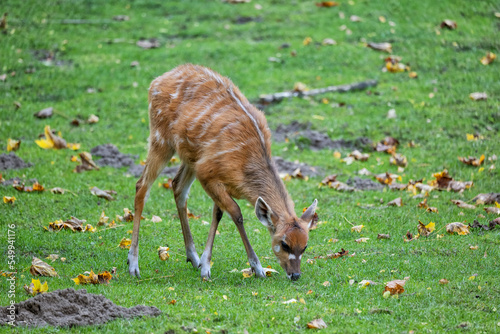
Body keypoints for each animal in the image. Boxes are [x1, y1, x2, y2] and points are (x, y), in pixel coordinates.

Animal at [128, 64, 316, 280]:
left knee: (177, 186)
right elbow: (236, 212)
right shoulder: (207, 173)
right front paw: (257, 268)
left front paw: (204, 263)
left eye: (305, 246)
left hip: (190, 156)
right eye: (284, 244)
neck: (243, 167)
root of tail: (157, 81)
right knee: (142, 186)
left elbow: (217, 213)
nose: (295, 275)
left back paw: (192, 257)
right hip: (161, 139)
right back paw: (133, 265)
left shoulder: (213, 177)